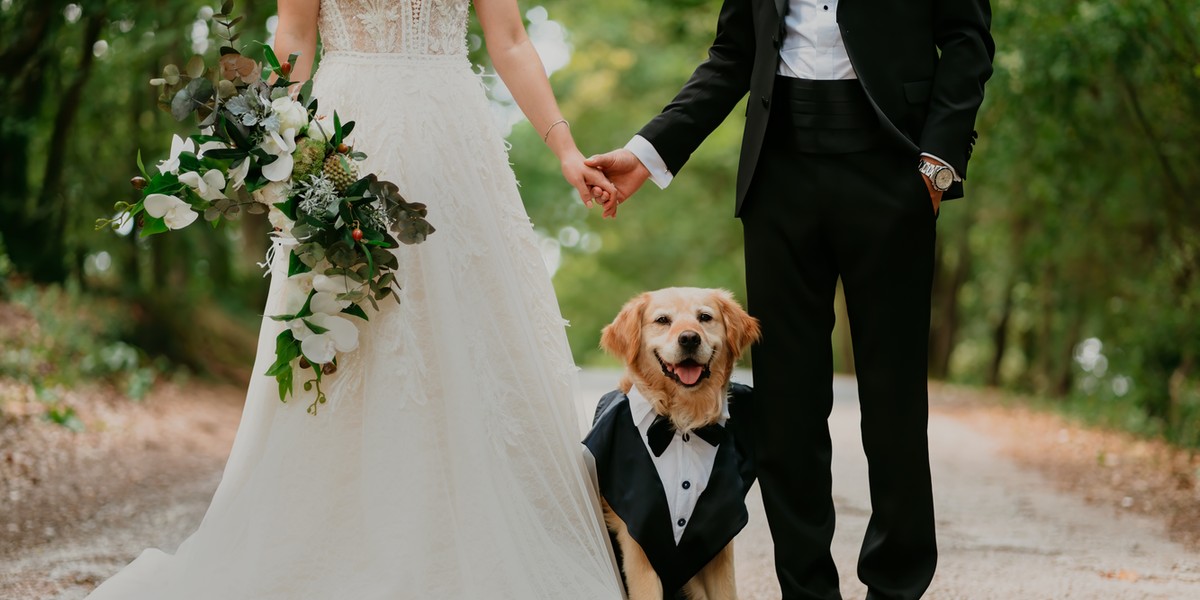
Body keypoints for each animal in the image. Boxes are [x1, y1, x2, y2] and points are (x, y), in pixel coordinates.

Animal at [597, 288, 758, 597]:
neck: (682, 422)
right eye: (662, 320)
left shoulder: (718, 542)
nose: (689, 338)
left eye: (705, 317)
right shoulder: (638, 546)